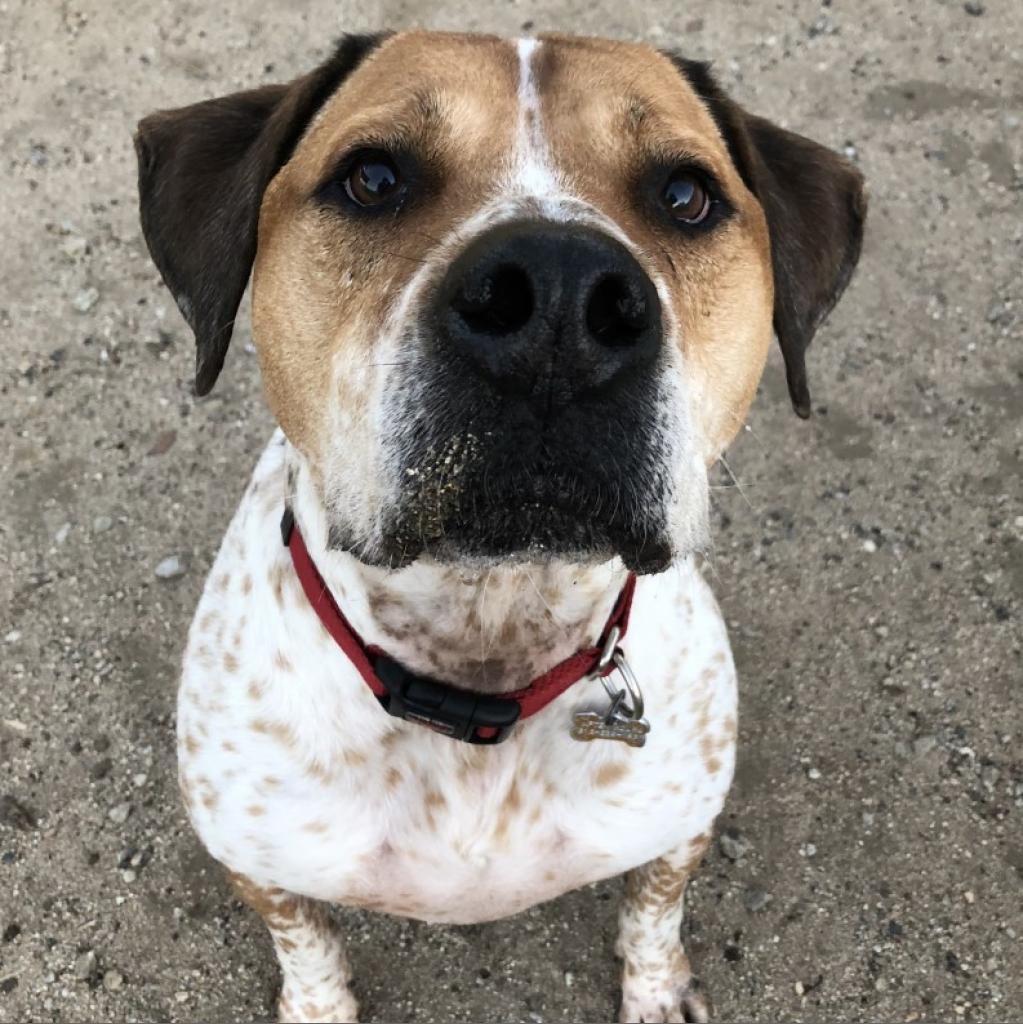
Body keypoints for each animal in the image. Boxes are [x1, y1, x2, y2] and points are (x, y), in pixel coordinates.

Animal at [132, 28, 860, 1019]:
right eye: (372, 179)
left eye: (685, 196)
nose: (558, 299)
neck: (485, 646)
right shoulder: (259, 864)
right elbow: (306, 943)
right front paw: (318, 1005)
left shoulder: (678, 830)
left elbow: (653, 915)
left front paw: (655, 994)